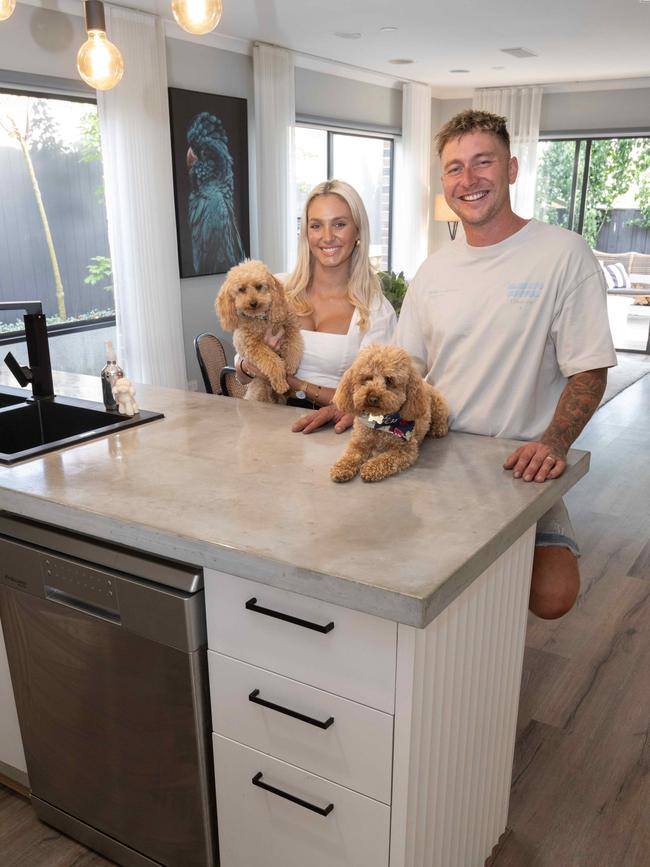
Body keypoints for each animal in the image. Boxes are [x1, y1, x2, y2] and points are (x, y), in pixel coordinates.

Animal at [215, 260, 302, 406]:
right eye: (241, 289)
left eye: (259, 286)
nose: (253, 303)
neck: (261, 319)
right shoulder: (253, 347)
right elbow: (273, 361)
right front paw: (280, 381)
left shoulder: (290, 325)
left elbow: (293, 345)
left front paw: (291, 366)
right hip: (259, 388)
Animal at [330, 344, 446, 482]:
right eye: (367, 378)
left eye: (389, 380)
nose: (373, 398)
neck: (379, 422)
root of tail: (425, 383)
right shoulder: (359, 441)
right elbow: (351, 454)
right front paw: (341, 467)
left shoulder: (406, 449)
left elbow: (386, 459)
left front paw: (370, 467)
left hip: (438, 403)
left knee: (442, 417)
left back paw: (439, 429)